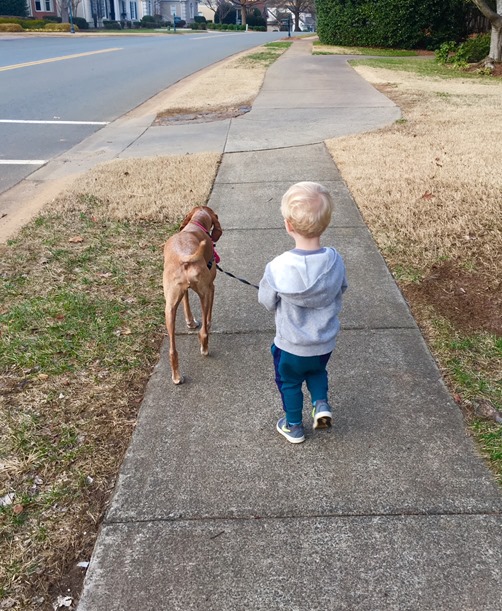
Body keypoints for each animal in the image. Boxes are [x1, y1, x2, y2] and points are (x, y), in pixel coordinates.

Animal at [163, 208, 222, 384]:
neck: (195, 225)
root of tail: (185, 257)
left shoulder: (182, 292)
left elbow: (186, 303)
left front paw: (190, 322)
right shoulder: (211, 287)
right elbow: (208, 317)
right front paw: (206, 323)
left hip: (169, 308)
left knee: (172, 351)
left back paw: (176, 377)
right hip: (205, 293)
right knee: (203, 332)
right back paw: (205, 348)